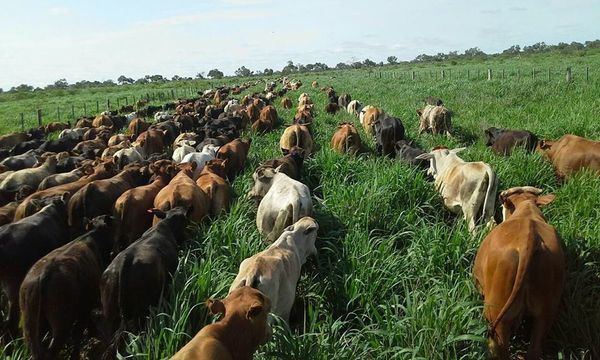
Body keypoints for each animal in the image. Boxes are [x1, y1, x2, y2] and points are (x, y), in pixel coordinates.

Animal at [19, 215, 115, 358]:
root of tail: (44, 274)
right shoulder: (86, 304)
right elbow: (80, 330)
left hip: (30, 324)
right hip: (61, 322)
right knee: (53, 348)